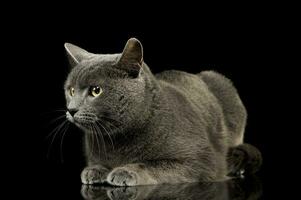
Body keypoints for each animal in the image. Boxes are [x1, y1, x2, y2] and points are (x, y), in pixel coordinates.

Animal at [62, 38, 260, 186]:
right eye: (71, 90)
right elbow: (95, 164)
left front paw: (126, 171)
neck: (117, 141)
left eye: (96, 90)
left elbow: (153, 166)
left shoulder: (203, 162)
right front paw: (95, 170)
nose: (71, 109)